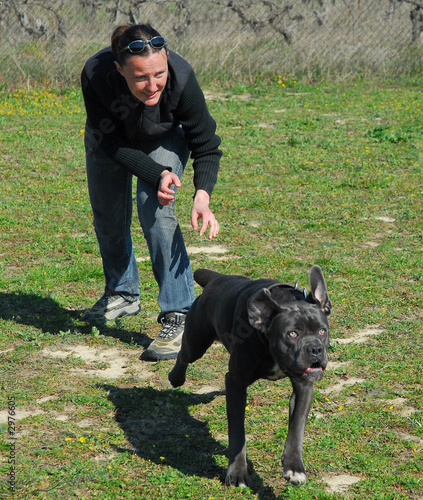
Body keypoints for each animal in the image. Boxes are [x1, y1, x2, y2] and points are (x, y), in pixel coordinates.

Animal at [168, 266, 332, 488]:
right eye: (292, 334)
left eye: (322, 331)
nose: (315, 349)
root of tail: (218, 279)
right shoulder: (236, 383)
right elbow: (238, 433)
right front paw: (237, 473)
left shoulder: (304, 386)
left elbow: (297, 426)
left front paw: (294, 467)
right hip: (197, 342)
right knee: (184, 355)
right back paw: (175, 377)